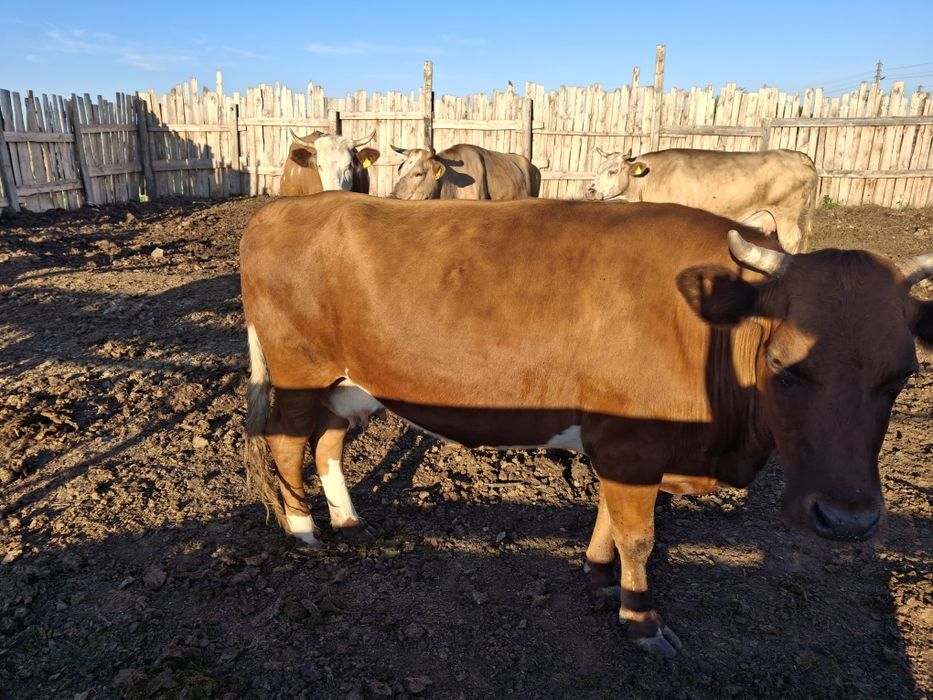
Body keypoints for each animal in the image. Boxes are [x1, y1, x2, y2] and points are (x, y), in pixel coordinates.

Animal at [239, 193, 932, 657]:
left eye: (903, 373)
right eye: (783, 363)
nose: (848, 521)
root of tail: (282, 208)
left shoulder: (623, 445)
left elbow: (610, 522)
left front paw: (600, 575)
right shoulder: (631, 444)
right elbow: (640, 538)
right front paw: (641, 619)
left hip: (351, 385)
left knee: (327, 444)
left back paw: (349, 520)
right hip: (301, 371)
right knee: (288, 443)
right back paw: (304, 529)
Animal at [586, 148, 819, 253]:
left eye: (613, 171)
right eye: (597, 169)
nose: (590, 190)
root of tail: (796, 155)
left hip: (786, 216)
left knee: (791, 241)